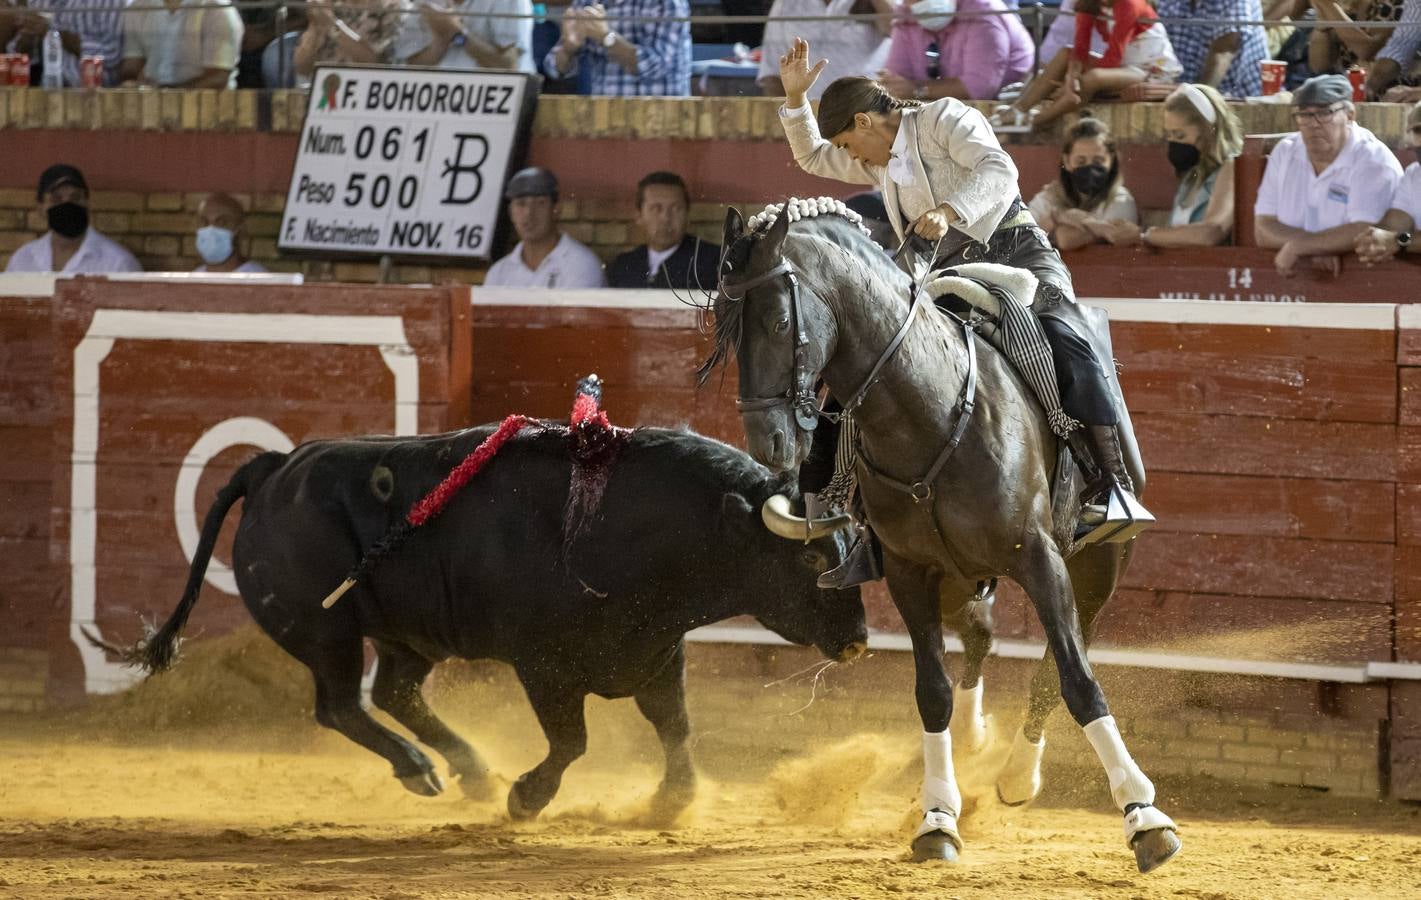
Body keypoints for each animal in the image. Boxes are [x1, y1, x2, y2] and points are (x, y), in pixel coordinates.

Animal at [107, 423, 863, 818]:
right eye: (808, 557)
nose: (857, 642)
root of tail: (274, 468)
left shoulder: (653, 655)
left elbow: (676, 729)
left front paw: (673, 801)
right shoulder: (545, 669)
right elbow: (571, 742)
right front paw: (528, 798)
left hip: (408, 635)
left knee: (393, 693)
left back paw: (468, 770)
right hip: (325, 634)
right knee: (341, 705)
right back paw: (421, 769)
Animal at [704, 201, 1182, 870]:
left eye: (777, 320)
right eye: (723, 327)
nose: (768, 442)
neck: (925, 411)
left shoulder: (1039, 557)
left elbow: (1078, 679)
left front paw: (1144, 817)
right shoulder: (910, 572)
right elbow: (932, 692)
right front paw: (937, 818)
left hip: (1098, 567)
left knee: (1060, 661)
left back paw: (1019, 776)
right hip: (960, 577)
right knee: (980, 636)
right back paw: (977, 741)